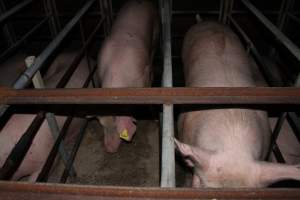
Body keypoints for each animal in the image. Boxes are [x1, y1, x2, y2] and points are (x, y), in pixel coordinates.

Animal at [98, 0, 159, 153]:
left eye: (116, 127)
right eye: (102, 125)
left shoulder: (144, 78)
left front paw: (155, 119)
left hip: (156, 32)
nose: (110, 149)